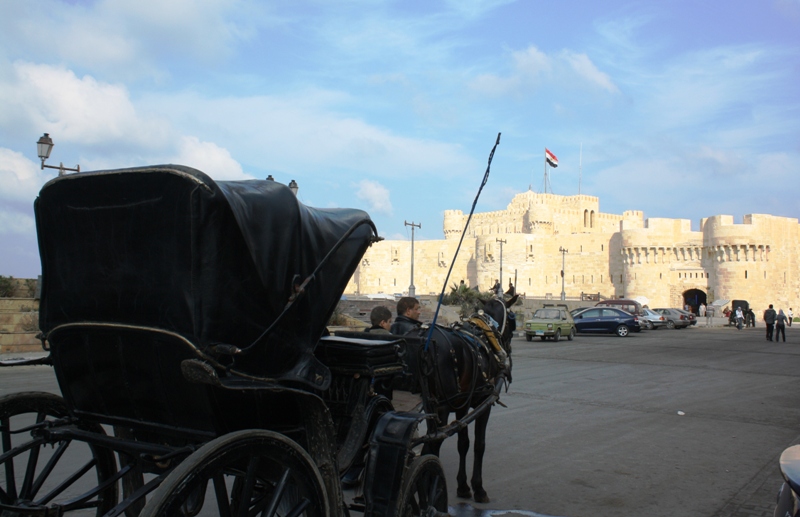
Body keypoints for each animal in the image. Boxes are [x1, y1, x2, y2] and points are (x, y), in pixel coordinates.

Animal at [406, 296, 520, 502]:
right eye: (512, 319)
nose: (506, 350)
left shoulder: (461, 406)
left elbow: (463, 443)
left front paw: (463, 485)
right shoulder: (484, 402)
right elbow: (479, 444)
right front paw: (478, 487)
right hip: (441, 408)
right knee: (431, 446)